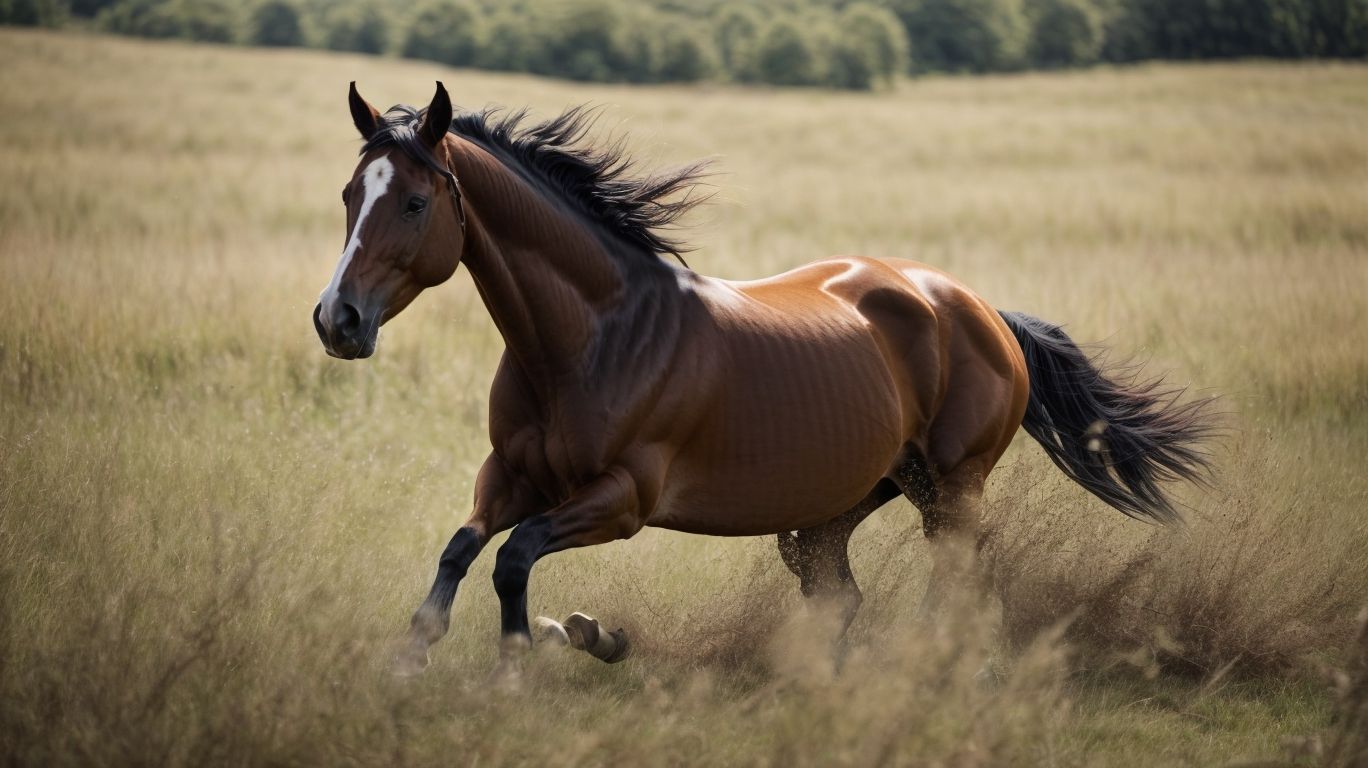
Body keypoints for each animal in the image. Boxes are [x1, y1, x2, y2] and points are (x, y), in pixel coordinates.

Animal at [313, 83, 1214, 677]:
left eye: (415, 204)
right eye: (352, 192)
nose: (338, 321)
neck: (590, 340)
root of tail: (982, 309)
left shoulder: (623, 499)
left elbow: (512, 559)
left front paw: (534, 657)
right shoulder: (511, 475)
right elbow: (461, 551)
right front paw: (416, 661)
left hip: (950, 488)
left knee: (955, 585)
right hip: (834, 507)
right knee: (840, 595)